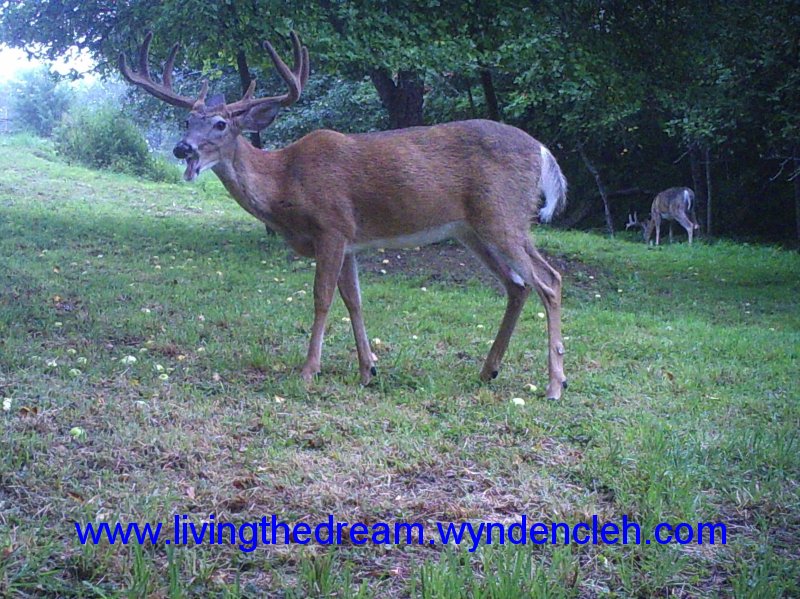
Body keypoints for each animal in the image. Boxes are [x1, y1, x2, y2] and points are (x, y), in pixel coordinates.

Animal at [117, 31, 568, 398]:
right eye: (186, 119)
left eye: (220, 124)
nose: (182, 148)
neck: (285, 183)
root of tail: (544, 153)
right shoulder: (351, 240)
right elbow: (354, 300)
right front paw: (368, 369)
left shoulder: (331, 226)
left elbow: (321, 298)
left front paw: (309, 370)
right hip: (472, 228)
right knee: (517, 286)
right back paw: (488, 370)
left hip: (502, 215)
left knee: (549, 280)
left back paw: (554, 384)